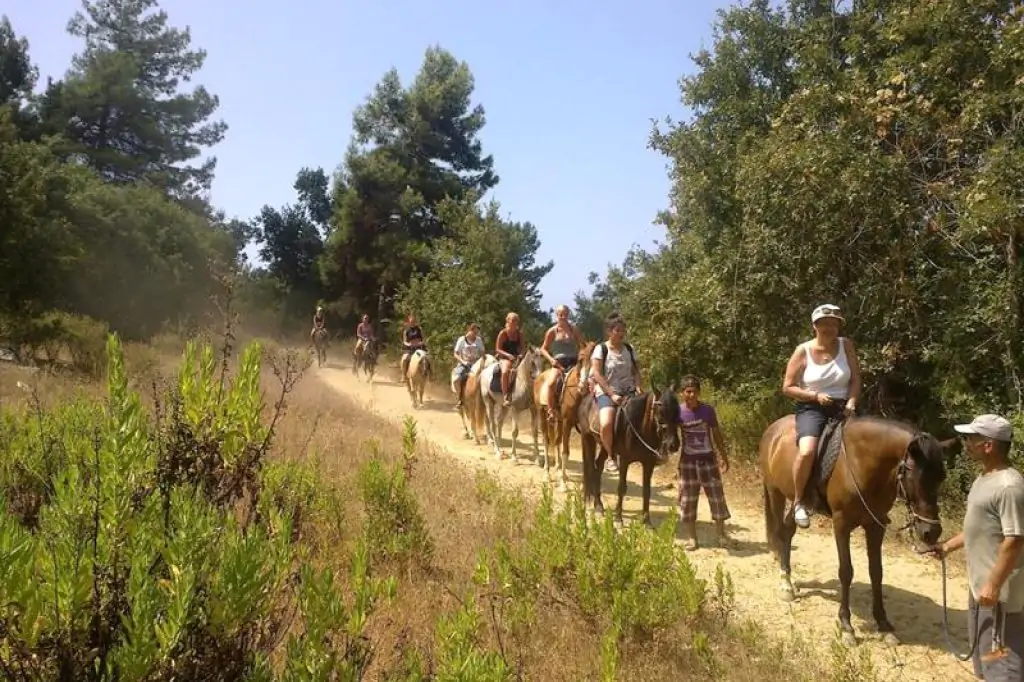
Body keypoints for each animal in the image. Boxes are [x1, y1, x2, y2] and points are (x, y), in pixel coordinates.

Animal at [532, 339, 598, 489]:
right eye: (580, 360)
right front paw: (562, 483)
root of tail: (540, 377)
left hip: (558, 421)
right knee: (546, 442)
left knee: (556, 441)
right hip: (542, 415)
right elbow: (565, 451)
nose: (584, 386)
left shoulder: (579, 426)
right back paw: (547, 474)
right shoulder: (568, 422)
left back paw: (559, 470)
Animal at [577, 382, 679, 524]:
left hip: (604, 446)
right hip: (587, 439)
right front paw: (618, 518)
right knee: (590, 468)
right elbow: (621, 487)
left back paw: (599, 503)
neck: (639, 427)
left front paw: (646, 520)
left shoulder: (649, 464)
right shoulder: (625, 460)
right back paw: (592, 503)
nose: (673, 445)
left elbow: (646, 490)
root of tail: (585, 400)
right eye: (661, 412)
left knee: (598, 466)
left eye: (677, 412)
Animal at [761, 411, 950, 647]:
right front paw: (846, 626)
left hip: (798, 502)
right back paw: (786, 585)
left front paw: (883, 624)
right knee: (779, 532)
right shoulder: (841, 524)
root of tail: (773, 429)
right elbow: (846, 571)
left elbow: (876, 572)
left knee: (787, 531)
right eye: (915, 476)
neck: (861, 462)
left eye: (941, 477)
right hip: (775, 492)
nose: (931, 532)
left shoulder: (875, 525)